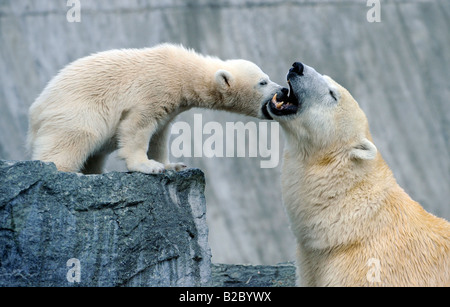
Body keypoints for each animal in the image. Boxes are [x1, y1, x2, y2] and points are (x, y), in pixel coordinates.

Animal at [27, 43, 284, 174]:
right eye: (263, 82)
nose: (282, 90)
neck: (182, 72)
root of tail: (35, 111)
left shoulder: (170, 106)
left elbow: (160, 135)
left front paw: (172, 164)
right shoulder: (152, 89)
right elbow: (136, 127)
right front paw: (148, 166)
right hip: (77, 110)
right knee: (74, 137)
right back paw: (64, 169)